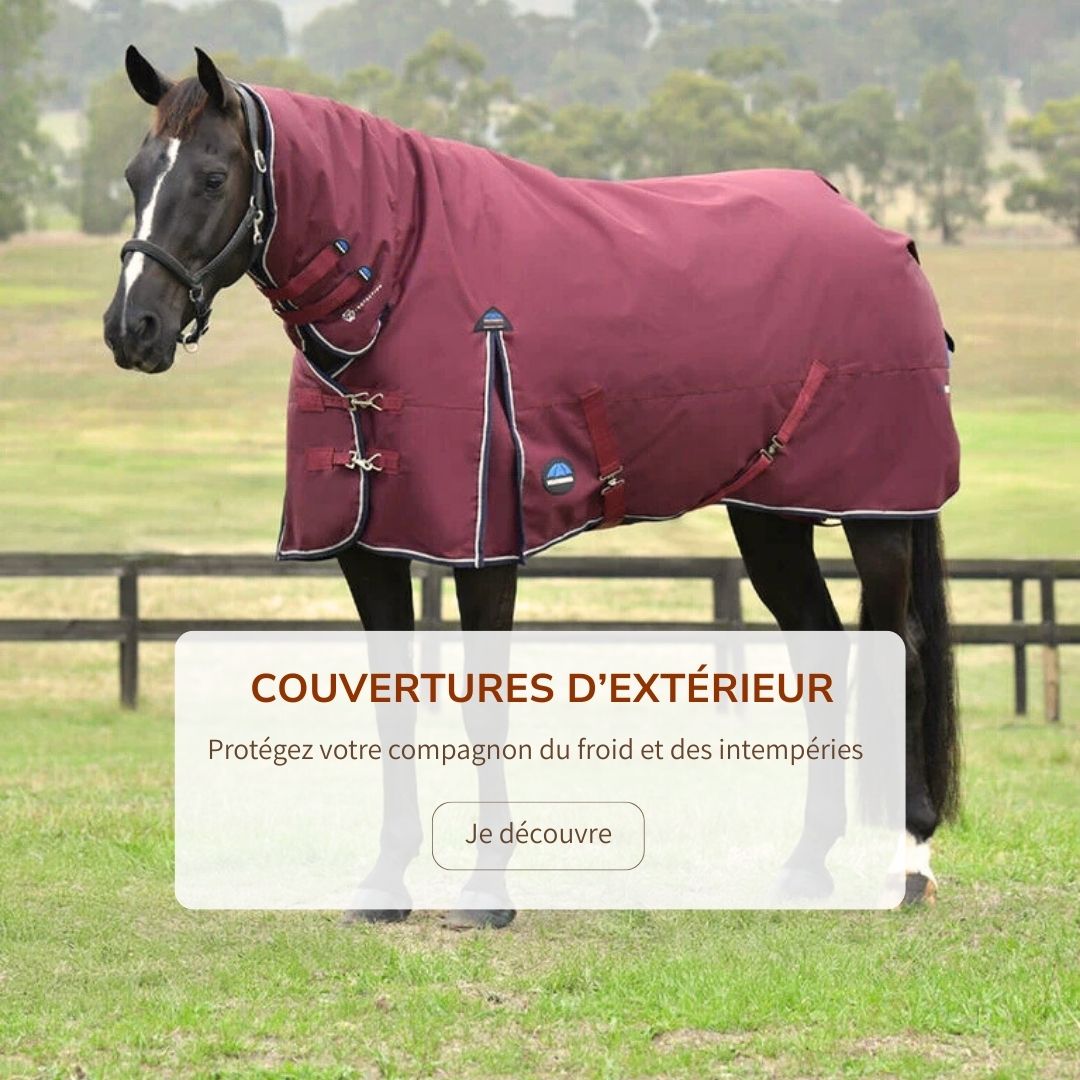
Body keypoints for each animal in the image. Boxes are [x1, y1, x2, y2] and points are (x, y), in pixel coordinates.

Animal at [103, 46, 960, 927]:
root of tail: (883, 235)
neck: (399, 282)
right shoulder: (368, 547)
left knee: (903, 658)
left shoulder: (484, 549)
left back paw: (908, 865)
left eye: (212, 176)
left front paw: (486, 894)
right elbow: (393, 705)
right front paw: (384, 885)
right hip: (770, 515)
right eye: (135, 175)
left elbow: (483, 705)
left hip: (876, 511)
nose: (132, 328)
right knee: (824, 653)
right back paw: (806, 867)